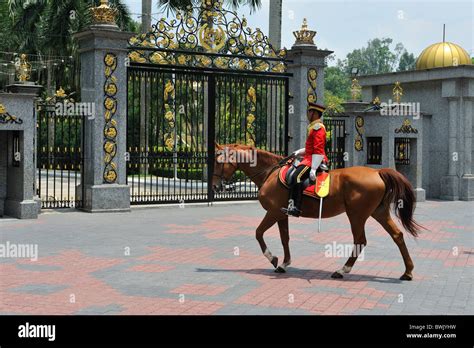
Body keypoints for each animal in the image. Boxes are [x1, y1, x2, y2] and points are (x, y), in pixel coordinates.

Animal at [213, 143, 424, 282]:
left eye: (218, 160)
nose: (214, 186)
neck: (270, 173)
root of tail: (377, 172)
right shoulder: (281, 214)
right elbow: (285, 238)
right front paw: (284, 263)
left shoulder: (272, 213)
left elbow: (258, 233)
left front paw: (273, 259)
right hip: (378, 213)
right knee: (397, 235)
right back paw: (408, 271)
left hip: (356, 215)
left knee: (360, 240)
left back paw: (342, 270)